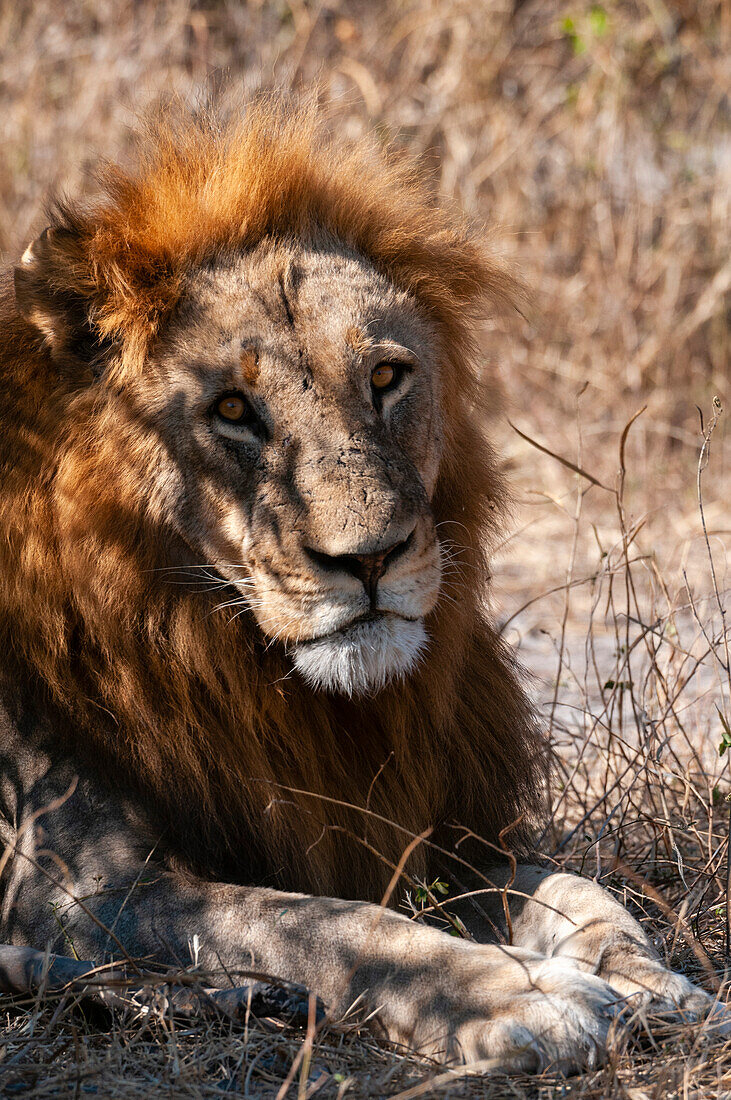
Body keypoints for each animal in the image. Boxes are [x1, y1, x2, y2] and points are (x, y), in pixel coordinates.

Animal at [0, 105, 721, 1073]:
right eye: (231, 410)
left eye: (384, 377)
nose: (371, 559)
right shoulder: (74, 886)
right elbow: (325, 927)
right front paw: (525, 996)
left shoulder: (403, 838)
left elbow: (574, 887)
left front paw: (651, 983)